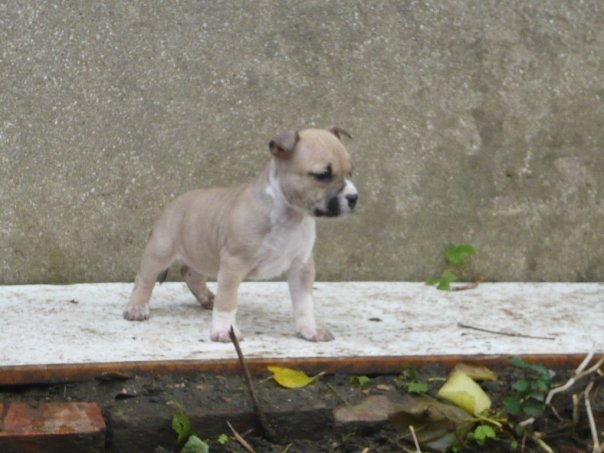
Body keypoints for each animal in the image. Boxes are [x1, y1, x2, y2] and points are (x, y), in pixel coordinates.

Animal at [124, 125, 358, 340]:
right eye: (322, 175)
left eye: (350, 172)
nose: (354, 197)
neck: (290, 216)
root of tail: (172, 204)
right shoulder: (233, 264)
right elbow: (227, 301)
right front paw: (224, 331)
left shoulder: (302, 267)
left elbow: (304, 303)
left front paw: (309, 330)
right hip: (160, 252)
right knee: (144, 279)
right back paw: (137, 307)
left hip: (204, 254)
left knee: (191, 274)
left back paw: (207, 298)